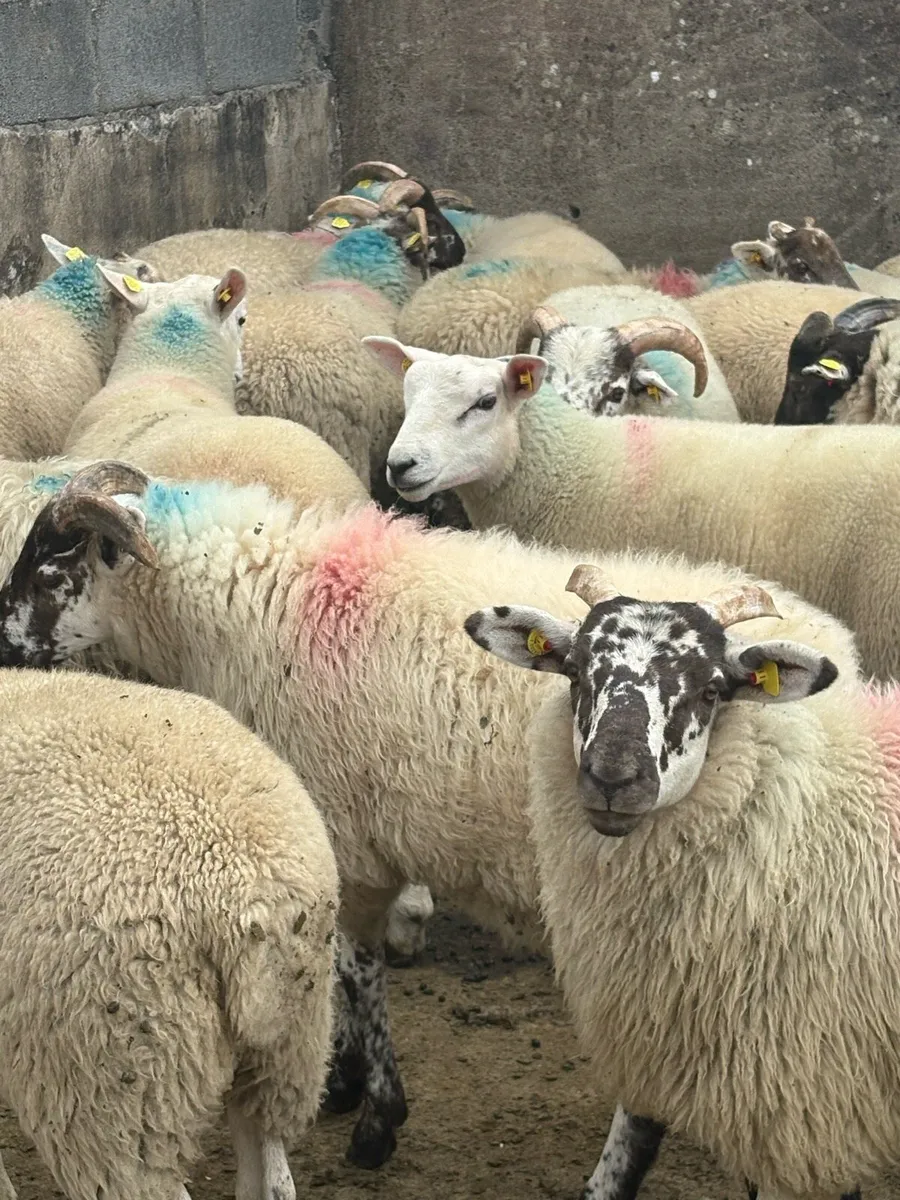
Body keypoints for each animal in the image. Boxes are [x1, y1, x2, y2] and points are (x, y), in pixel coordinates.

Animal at [466, 560, 900, 1200]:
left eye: (713, 689)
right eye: (575, 672)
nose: (613, 779)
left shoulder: (801, 1119)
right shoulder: (659, 1043)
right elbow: (615, 1168)